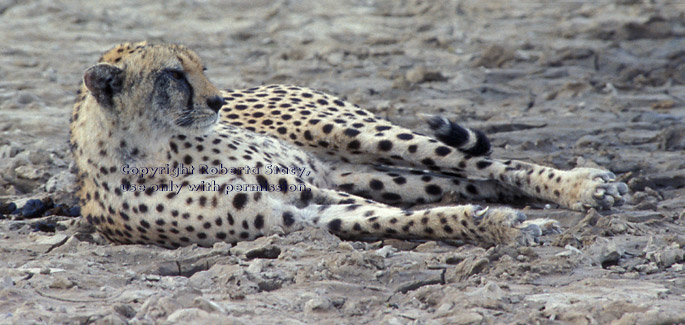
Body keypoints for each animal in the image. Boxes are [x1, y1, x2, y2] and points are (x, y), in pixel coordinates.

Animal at [68, 41, 624, 248]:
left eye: (199, 66)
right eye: (173, 75)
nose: (217, 101)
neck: (154, 148)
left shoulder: (310, 192)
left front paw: (507, 224)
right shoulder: (299, 210)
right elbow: (405, 219)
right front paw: (497, 226)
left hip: (350, 133)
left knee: (488, 163)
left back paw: (584, 186)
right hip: (374, 175)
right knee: (460, 180)